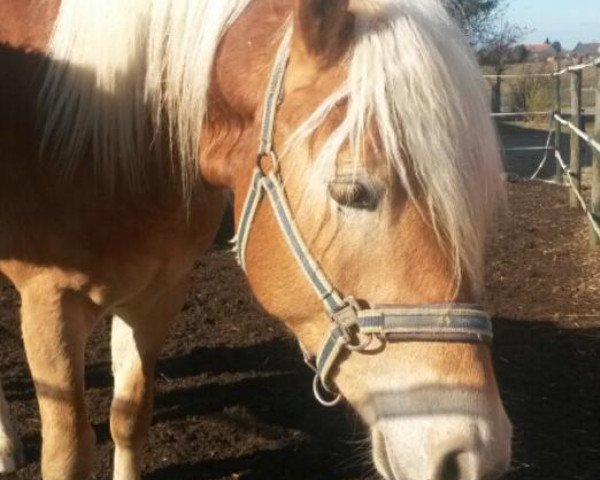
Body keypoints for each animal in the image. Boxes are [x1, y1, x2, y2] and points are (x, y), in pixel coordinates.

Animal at [0, 0, 510, 480]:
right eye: (351, 192)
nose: (471, 453)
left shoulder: (157, 295)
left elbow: (129, 417)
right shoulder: (51, 304)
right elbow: (69, 454)